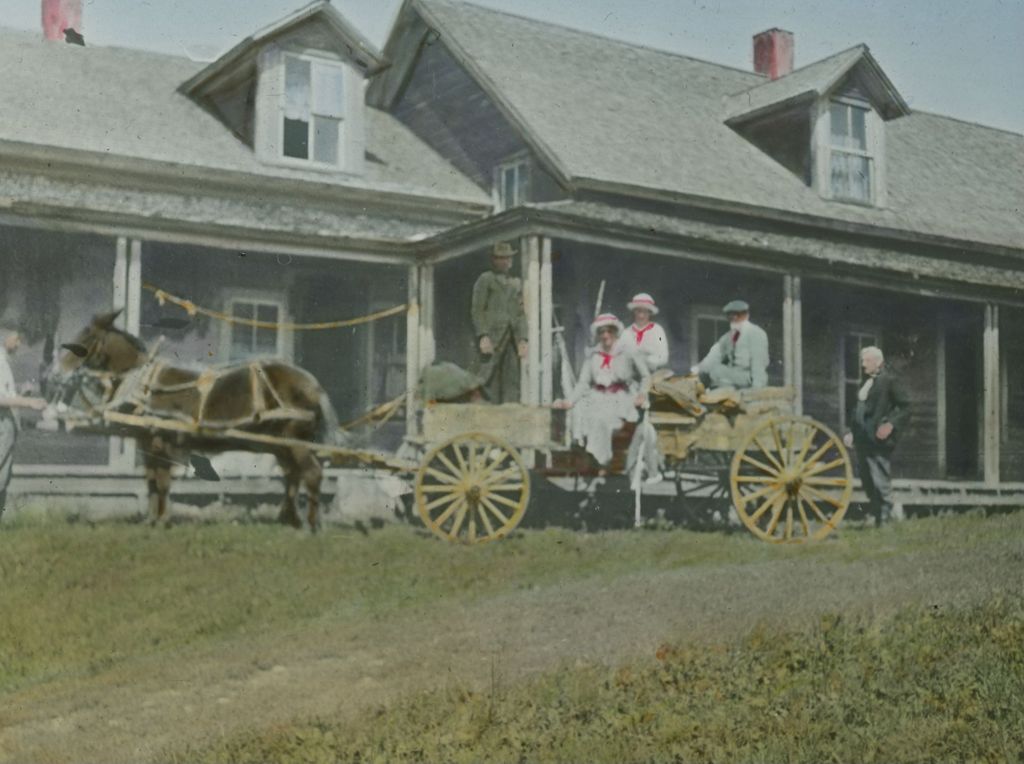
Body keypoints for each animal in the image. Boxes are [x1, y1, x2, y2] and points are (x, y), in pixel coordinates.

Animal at [52, 307, 339, 528]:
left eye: (87, 336)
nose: (56, 372)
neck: (143, 383)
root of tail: (311, 383)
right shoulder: (148, 442)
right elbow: (151, 481)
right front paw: (151, 520)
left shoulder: (162, 441)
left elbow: (162, 482)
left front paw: (162, 520)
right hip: (280, 442)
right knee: (292, 475)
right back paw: (289, 519)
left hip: (295, 440)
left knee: (312, 474)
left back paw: (311, 525)